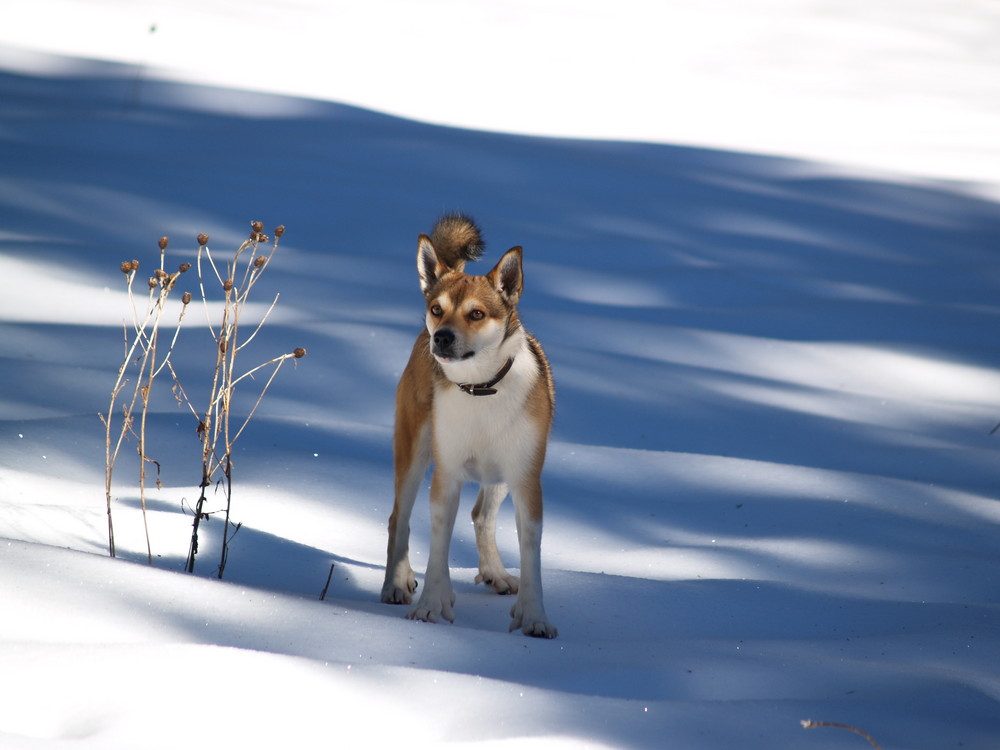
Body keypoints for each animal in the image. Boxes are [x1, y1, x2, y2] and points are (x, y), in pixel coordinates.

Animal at [380, 213, 560, 640]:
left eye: (477, 314)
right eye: (436, 308)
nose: (442, 338)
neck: (481, 389)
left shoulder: (526, 478)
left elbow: (531, 554)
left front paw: (533, 616)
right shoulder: (446, 475)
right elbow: (437, 548)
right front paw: (430, 604)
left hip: (501, 472)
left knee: (482, 515)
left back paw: (496, 573)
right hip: (414, 449)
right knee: (400, 518)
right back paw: (396, 583)